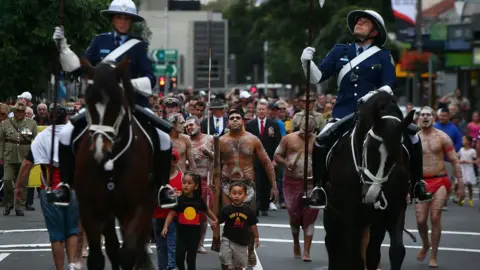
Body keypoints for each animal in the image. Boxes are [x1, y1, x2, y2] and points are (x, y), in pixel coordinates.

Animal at [75, 57, 155, 270]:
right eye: (88, 101)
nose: (100, 151)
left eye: (117, 103)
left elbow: (128, 254)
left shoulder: (137, 208)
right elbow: (96, 257)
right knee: (111, 246)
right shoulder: (91, 208)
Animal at [324, 92, 414, 268]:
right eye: (370, 148)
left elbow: (395, 251)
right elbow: (351, 254)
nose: (372, 194)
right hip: (334, 212)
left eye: (397, 154)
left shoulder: (395, 210)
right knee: (333, 243)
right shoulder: (349, 213)